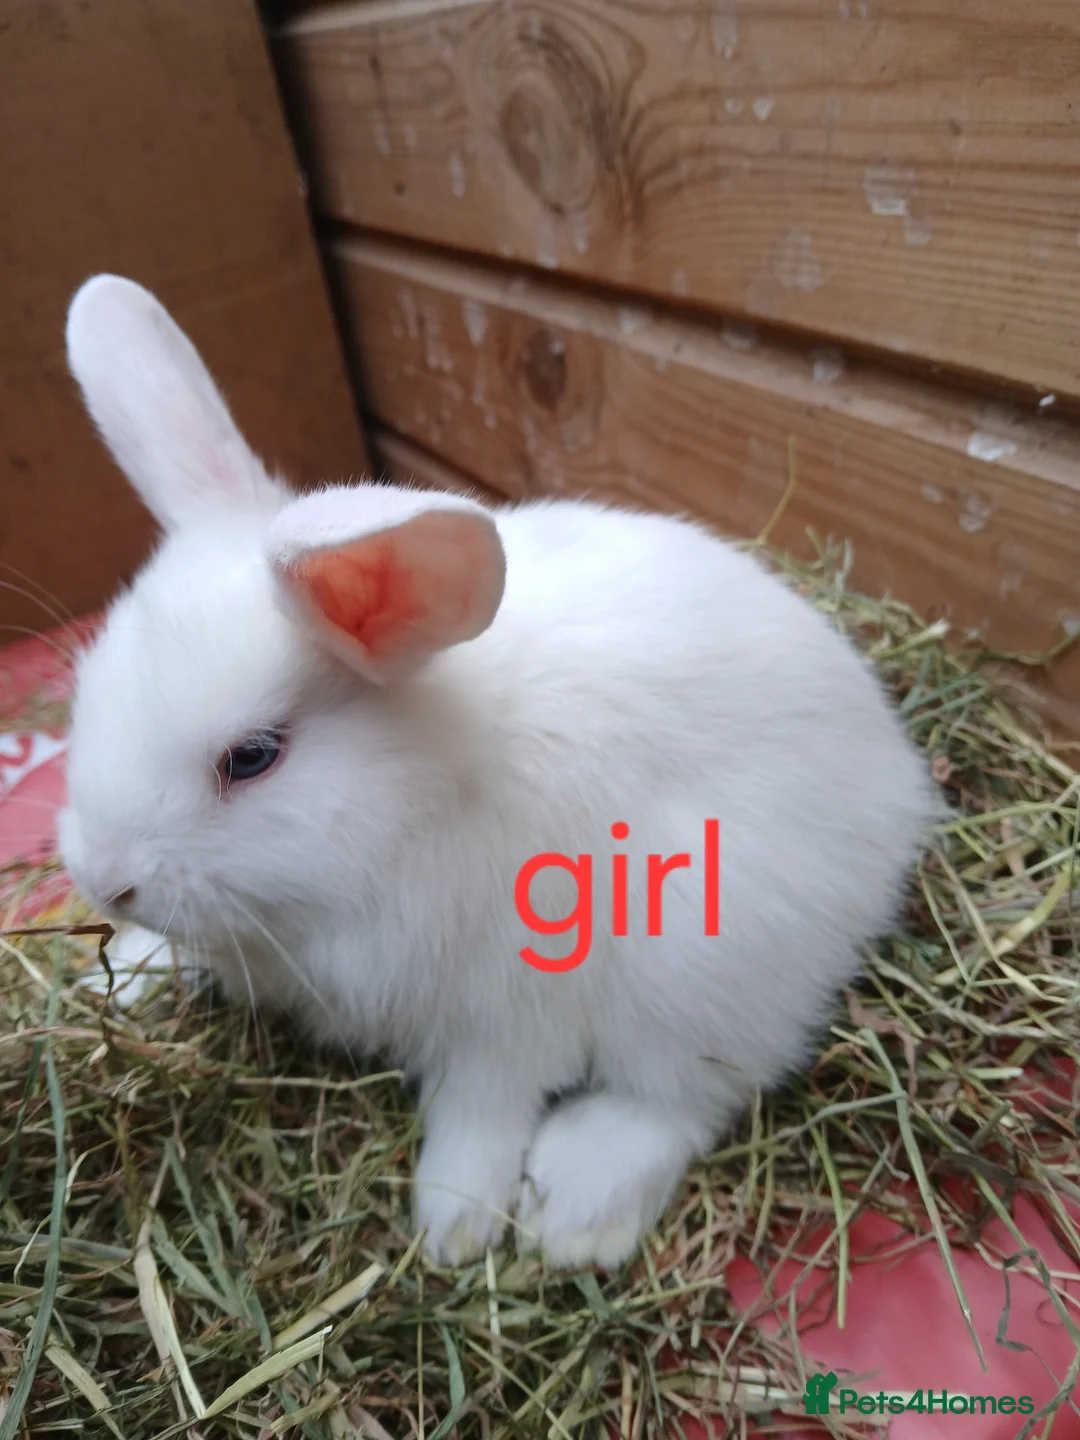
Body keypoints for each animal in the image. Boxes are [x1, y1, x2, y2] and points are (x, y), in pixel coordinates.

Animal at [57, 273, 940, 1270]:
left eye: (252, 757)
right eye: (87, 687)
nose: (102, 879)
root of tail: (901, 784)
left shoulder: (505, 1016)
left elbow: (483, 1108)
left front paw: (454, 1224)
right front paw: (123, 973)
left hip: (708, 957)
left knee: (688, 1094)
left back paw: (575, 1211)